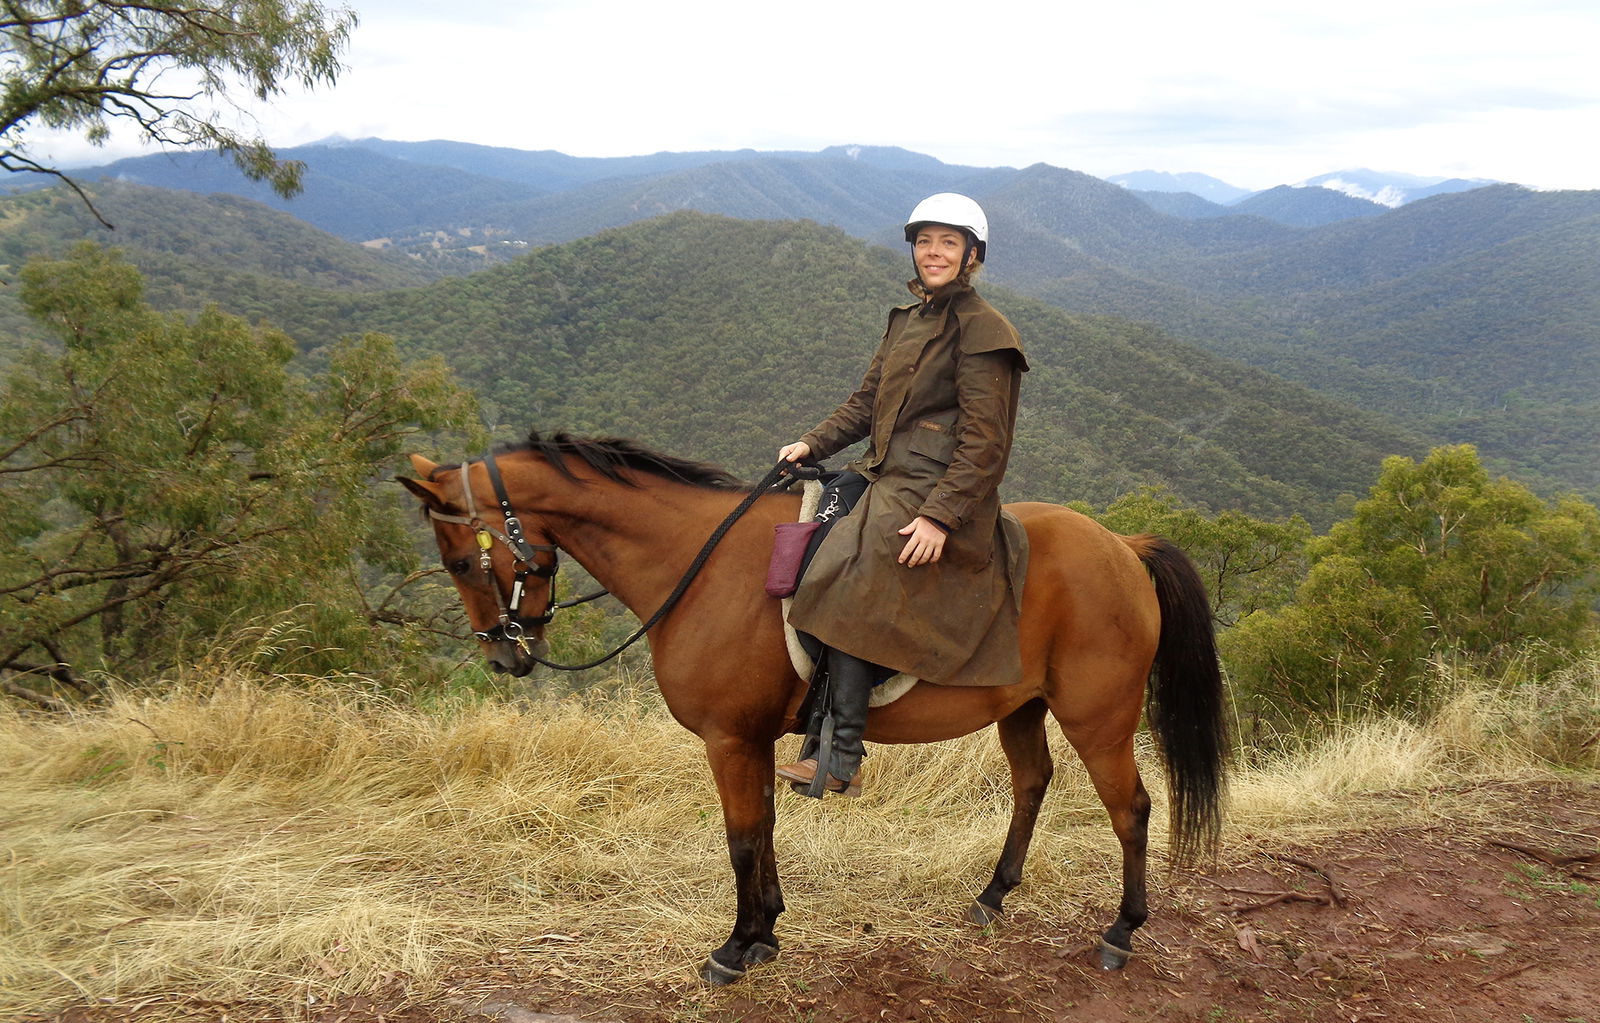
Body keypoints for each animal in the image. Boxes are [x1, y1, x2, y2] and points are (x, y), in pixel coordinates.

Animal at [399, 431, 1228, 985]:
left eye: (460, 559)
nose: (504, 656)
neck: (696, 561)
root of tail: (1123, 545)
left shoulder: (730, 738)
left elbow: (740, 838)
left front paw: (735, 947)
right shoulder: (756, 737)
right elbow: (762, 829)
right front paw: (766, 929)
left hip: (1100, 717)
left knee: (1132, 808)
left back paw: (1121, 929)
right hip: (1022, 707)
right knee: (1032, 784)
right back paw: (993, 896)